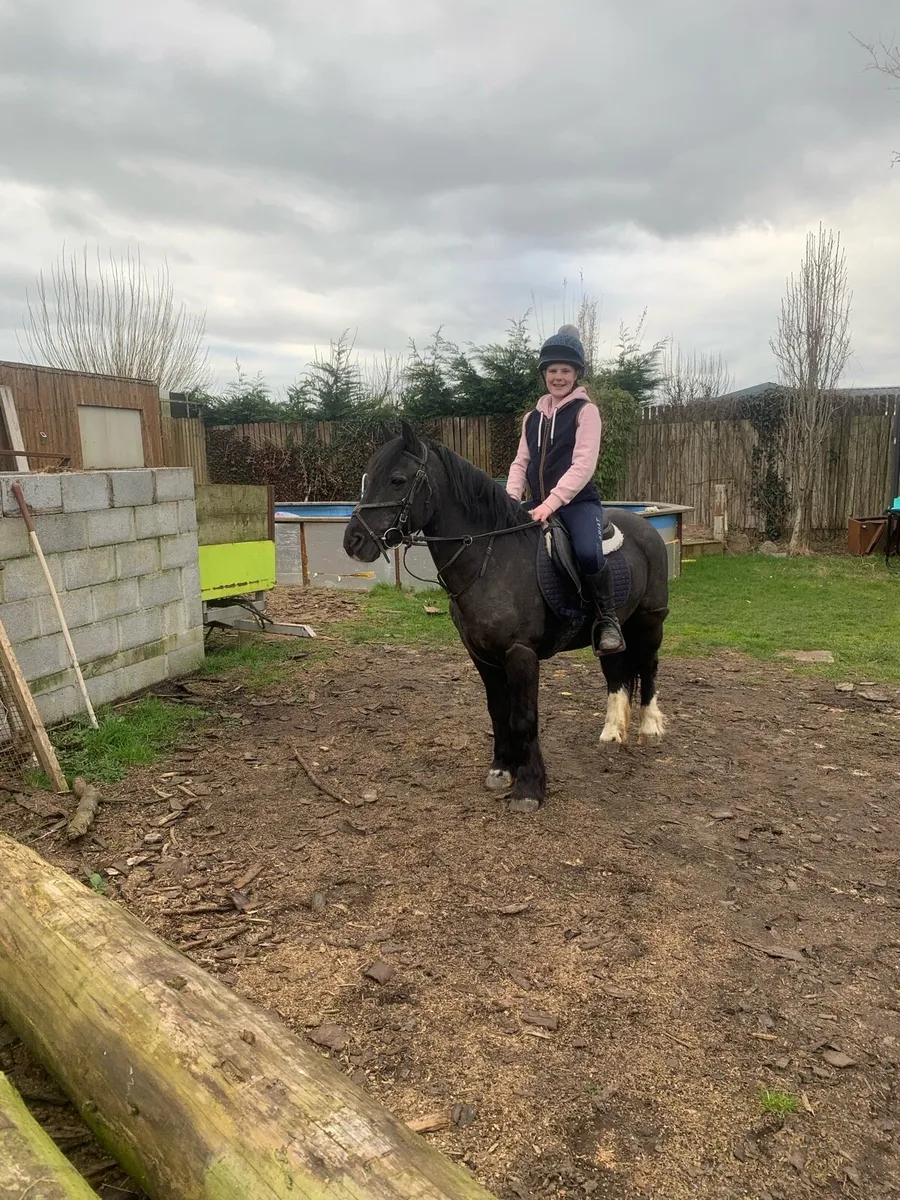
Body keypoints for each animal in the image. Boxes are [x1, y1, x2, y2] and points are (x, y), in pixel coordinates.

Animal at [343, 421, 670, 813]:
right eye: (367, 478)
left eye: (397, 480)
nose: (353, 542)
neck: (492, 557)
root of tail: (646, 527)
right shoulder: (482, 655)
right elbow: (498, 710)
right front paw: (501, 770)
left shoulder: (520, 654)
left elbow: (524, 716)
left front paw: (529, 788)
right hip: (611, 629)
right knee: (616, 670)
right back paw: (612, 732)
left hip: (650, 621)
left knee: (648, 667)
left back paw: (650, 728)